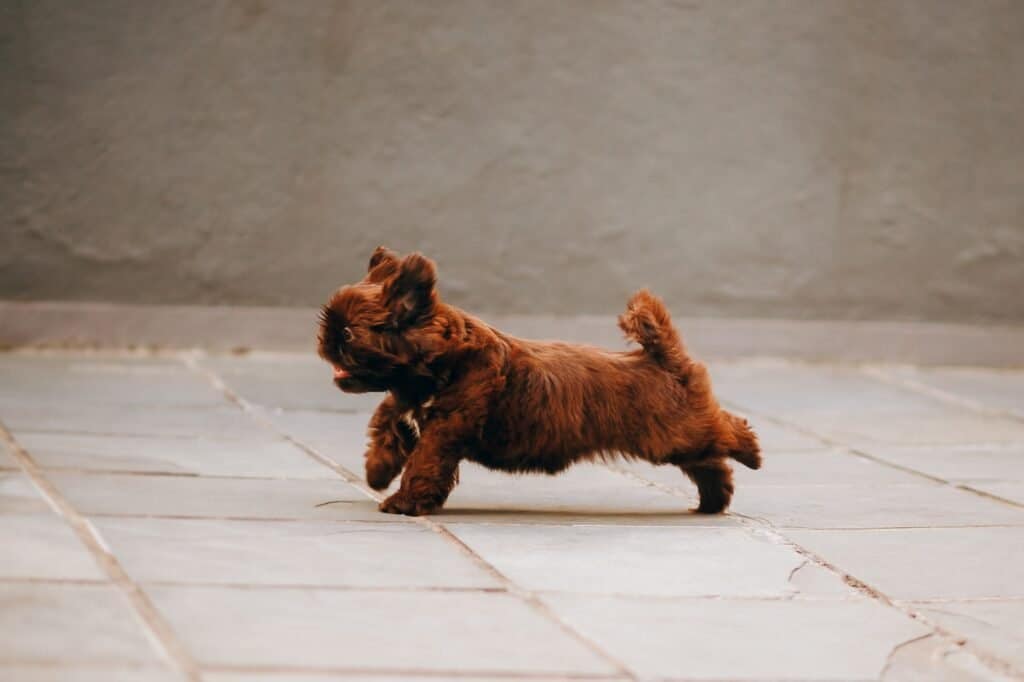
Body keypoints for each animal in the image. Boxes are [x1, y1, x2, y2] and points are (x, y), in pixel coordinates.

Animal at [319, 246, 761, 512]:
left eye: (348, 334)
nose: (325, 341)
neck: (436, 364)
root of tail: (663, 357)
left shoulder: (444, 429)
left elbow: (423, 462)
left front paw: (403, 501)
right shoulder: (405, 406)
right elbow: (385, 423)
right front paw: (377, 471)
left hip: (676, 432)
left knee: (724, 430)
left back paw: (751, 450)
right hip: (675, 441)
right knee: (710, 464)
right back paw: (712, 502)